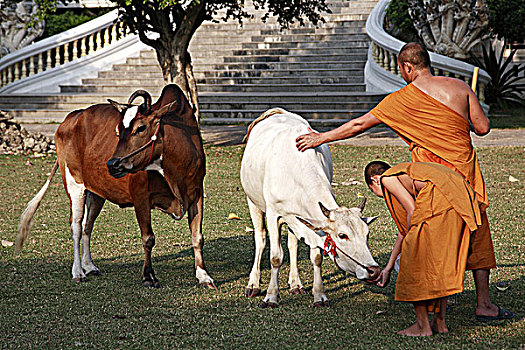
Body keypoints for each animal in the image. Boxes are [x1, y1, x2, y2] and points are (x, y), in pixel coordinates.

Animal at [16, 85, 213, 288]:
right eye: (118, 132)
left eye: (140, 128)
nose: (112, 164)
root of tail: (70, 118)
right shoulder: (141, 197)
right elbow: (148, 238)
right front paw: (148, 276)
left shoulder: (197, 194)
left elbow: (197, 237)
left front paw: (203, 275)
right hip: (74, 184)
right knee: (76, 225)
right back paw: (78, 271)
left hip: (96, 192)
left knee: (87, 225)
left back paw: (89, 266)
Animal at [239, 108, 378, 308]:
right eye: (342, 235)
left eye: (366, 233)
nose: (374, 270)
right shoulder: (274, 215)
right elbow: (275, 258)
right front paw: (271, 297)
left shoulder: (309, 221)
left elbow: (316, 257)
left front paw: (319, 295)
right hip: (253, 201)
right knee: (261, 239)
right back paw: (254, 284)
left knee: (292, 244)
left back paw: (295, 283)